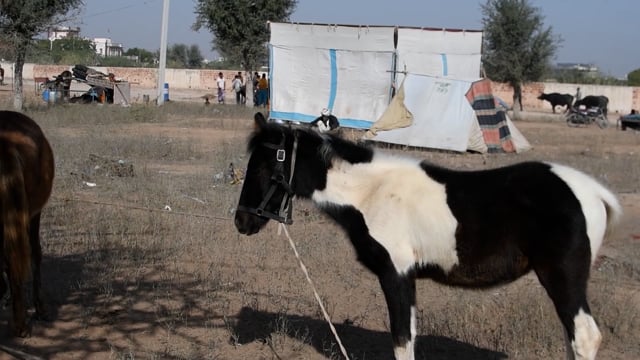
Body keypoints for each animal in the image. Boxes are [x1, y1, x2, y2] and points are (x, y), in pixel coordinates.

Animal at [234, 112, 620, 360]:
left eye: (264, 166)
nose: (241, 221)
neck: (371, 193)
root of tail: (593, 192)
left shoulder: (396, 274)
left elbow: (402, 341)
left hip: (562, 276)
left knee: (585, 337)